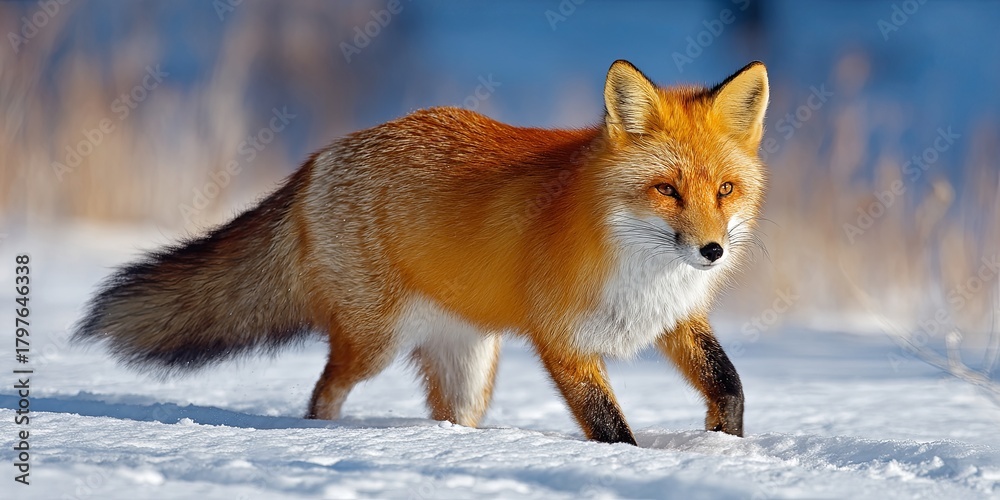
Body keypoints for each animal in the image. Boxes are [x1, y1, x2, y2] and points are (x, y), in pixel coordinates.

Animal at [75, 60, 769, 445]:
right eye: (666, 189)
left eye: (725, 190)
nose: (710, 251)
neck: (639, 265)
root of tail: (320, 157)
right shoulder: (562, 341)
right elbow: (612, 430)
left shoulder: (676, 318)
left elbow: (729, 384)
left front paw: (726, 448)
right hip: (375, 343)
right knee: (323, 391)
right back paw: (319, 438)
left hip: (471, 369)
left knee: (448, 416)